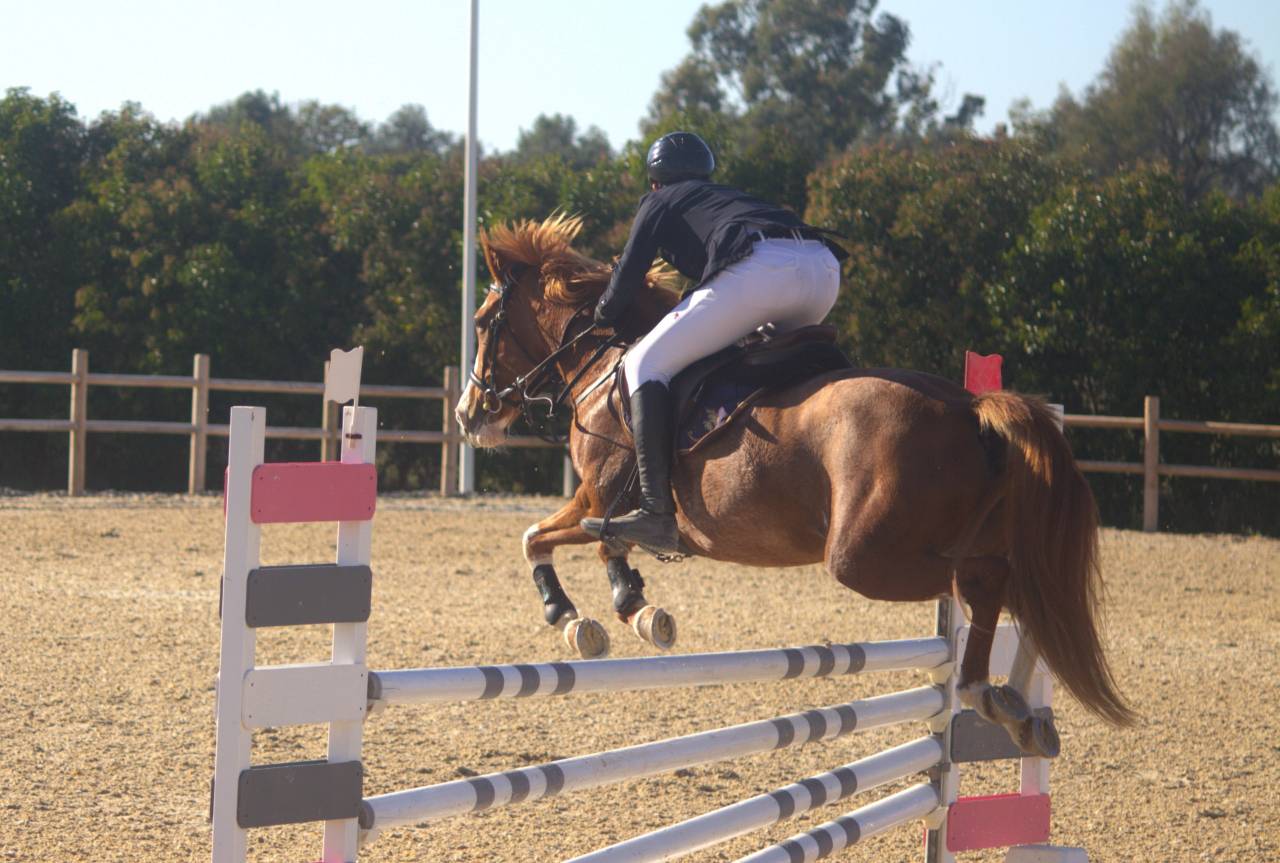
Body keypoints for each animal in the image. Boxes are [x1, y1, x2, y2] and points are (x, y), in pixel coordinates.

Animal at [453, 214, 1134, 758]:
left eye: (484, 322)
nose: (469, 414)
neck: (604, 361)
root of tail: (970, 408)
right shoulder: (597, 502)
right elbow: (566, 539)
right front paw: (610, 608)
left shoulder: (599, 497)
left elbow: (558, 538)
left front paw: (590, 613)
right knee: (1011, 590)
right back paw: (1006, 704)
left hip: (863, 558)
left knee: (993, 584)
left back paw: (999, 695)